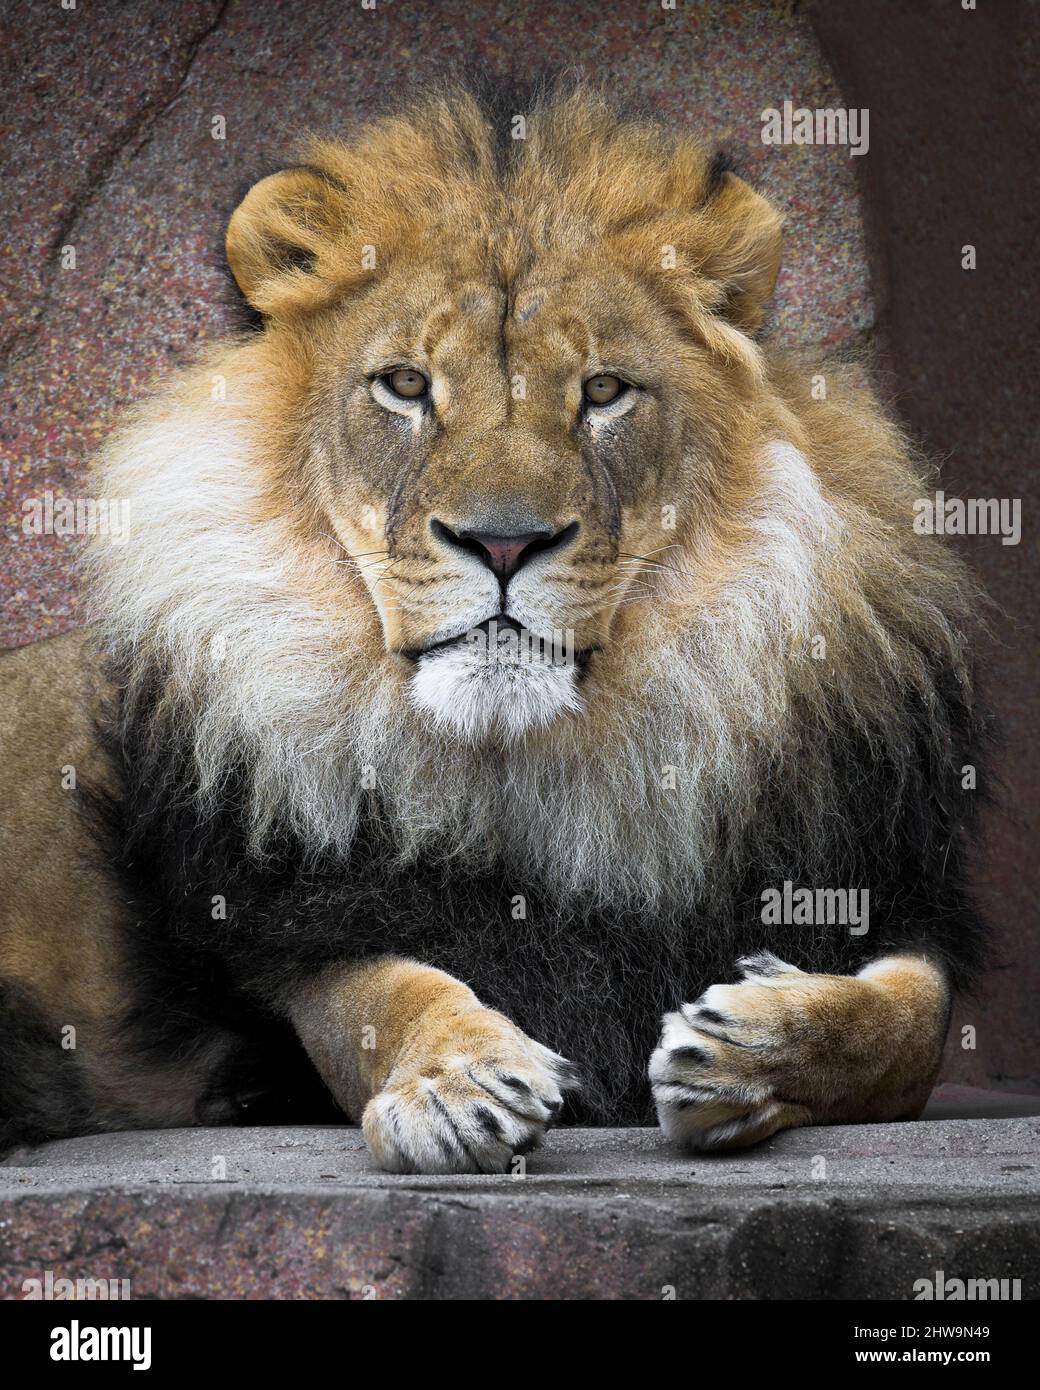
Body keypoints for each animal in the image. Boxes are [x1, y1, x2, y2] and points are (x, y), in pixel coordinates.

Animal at [0, 81, 987, 1172]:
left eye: (602, 391)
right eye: (404, 385)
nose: (504, 541)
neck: (531, 762)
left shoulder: (877, 888)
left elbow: (910, 1021)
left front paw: (751, 1048)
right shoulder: (297, 926)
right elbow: (385, 993)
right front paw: (456, 1082)